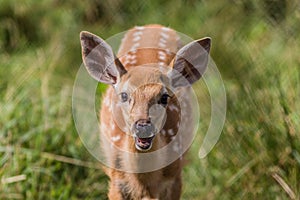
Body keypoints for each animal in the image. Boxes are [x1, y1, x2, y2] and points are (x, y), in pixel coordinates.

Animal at [80, 24, 211, 199]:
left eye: (164, 97)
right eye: (124, 95)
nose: (143, 125)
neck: (145, 184)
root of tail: (154, 25)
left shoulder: (175, 177)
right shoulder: (116, 179)